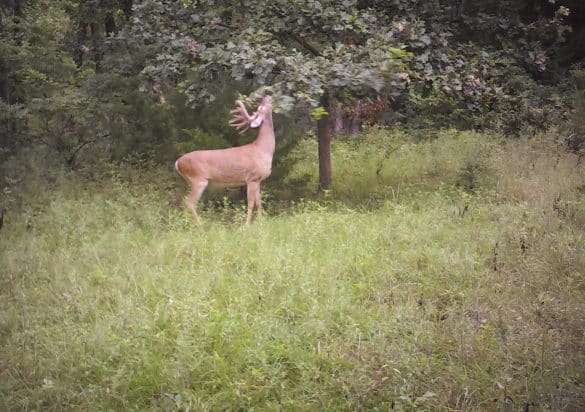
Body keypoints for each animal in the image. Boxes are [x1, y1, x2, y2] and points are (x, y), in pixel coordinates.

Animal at [175, 96, 274, 225]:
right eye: (260, 107)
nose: (267, 97)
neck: (263, 150)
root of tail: (177, 163)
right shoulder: (251, 178)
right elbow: (251, 203)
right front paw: (247, 225)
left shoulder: (258, 180)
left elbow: (259, 202)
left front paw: (262, 223)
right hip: (198, 180)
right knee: (189, 202)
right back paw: (200, 227)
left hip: (190, 181)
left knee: (184, 201)